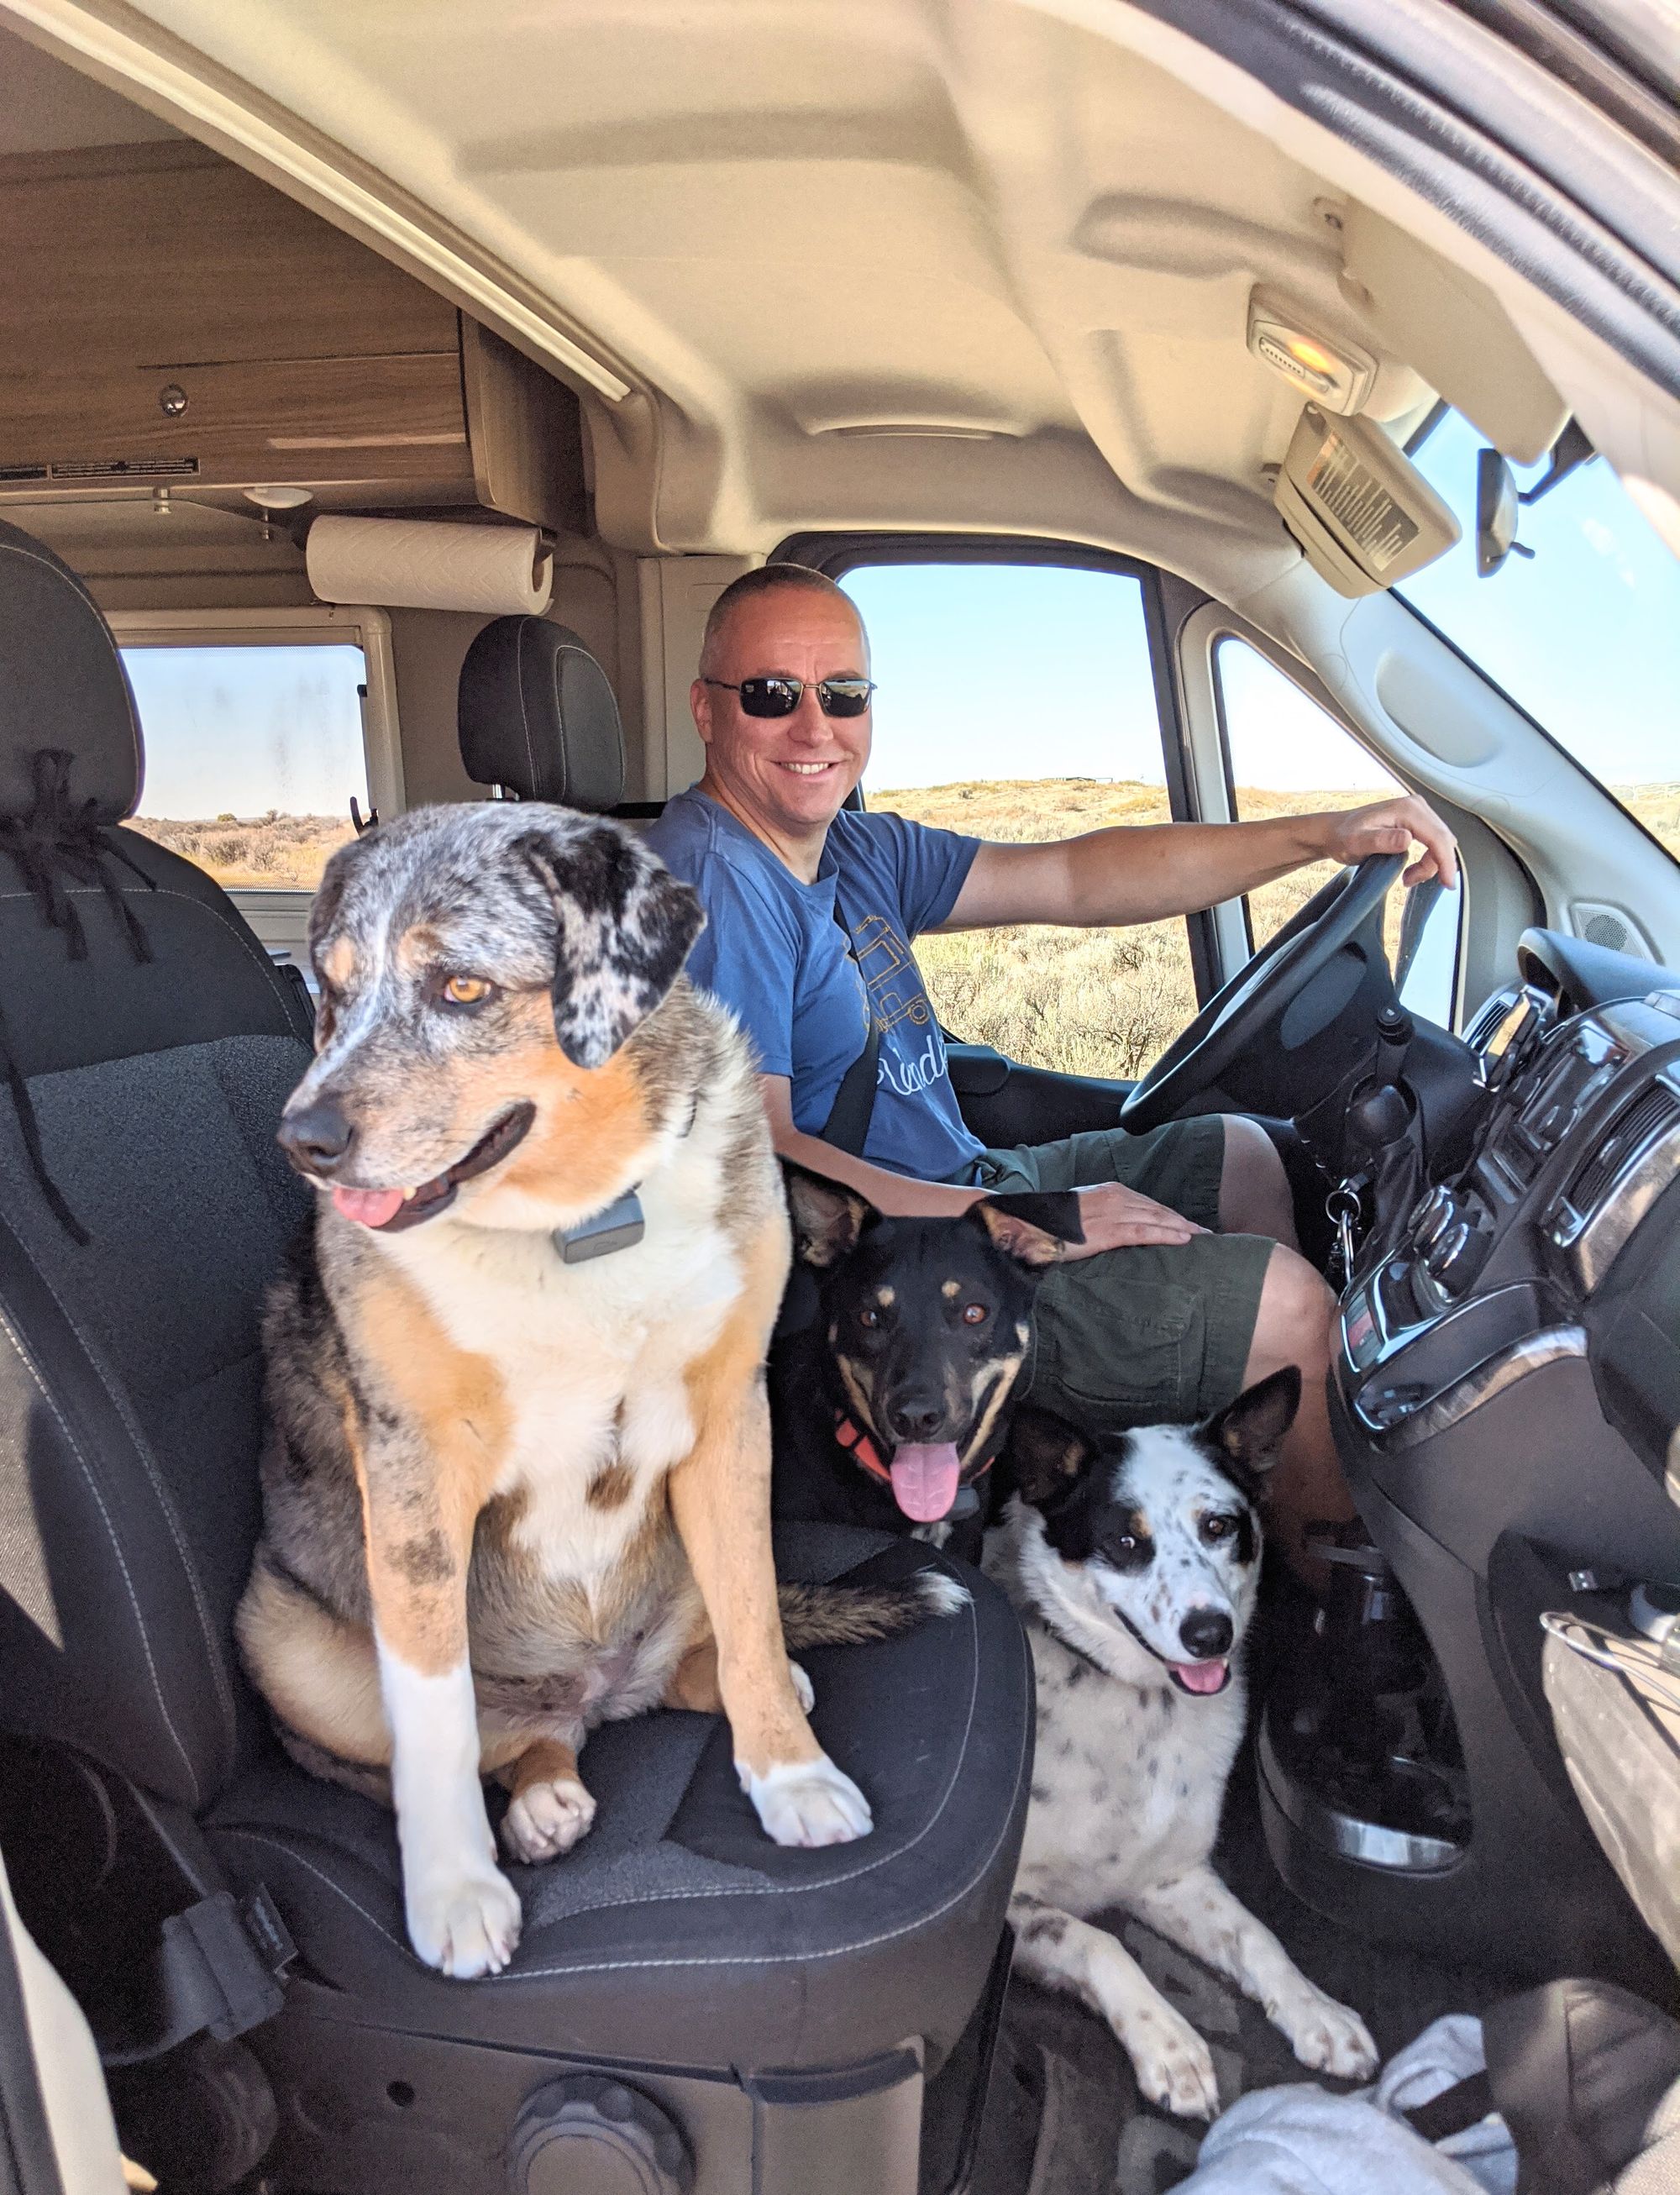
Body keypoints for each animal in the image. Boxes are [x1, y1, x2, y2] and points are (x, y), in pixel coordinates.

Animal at [988, 1378, 1370, 2115]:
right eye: (1125, 1540)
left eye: (1219, 1526)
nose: (1210, 1633)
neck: (1142, 1706)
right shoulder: (1013, 1906)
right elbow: (1100, 1941)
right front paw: (1171, 2046)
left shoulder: (1171, 1876)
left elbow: (1257, 1935)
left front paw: (1316, 2010)